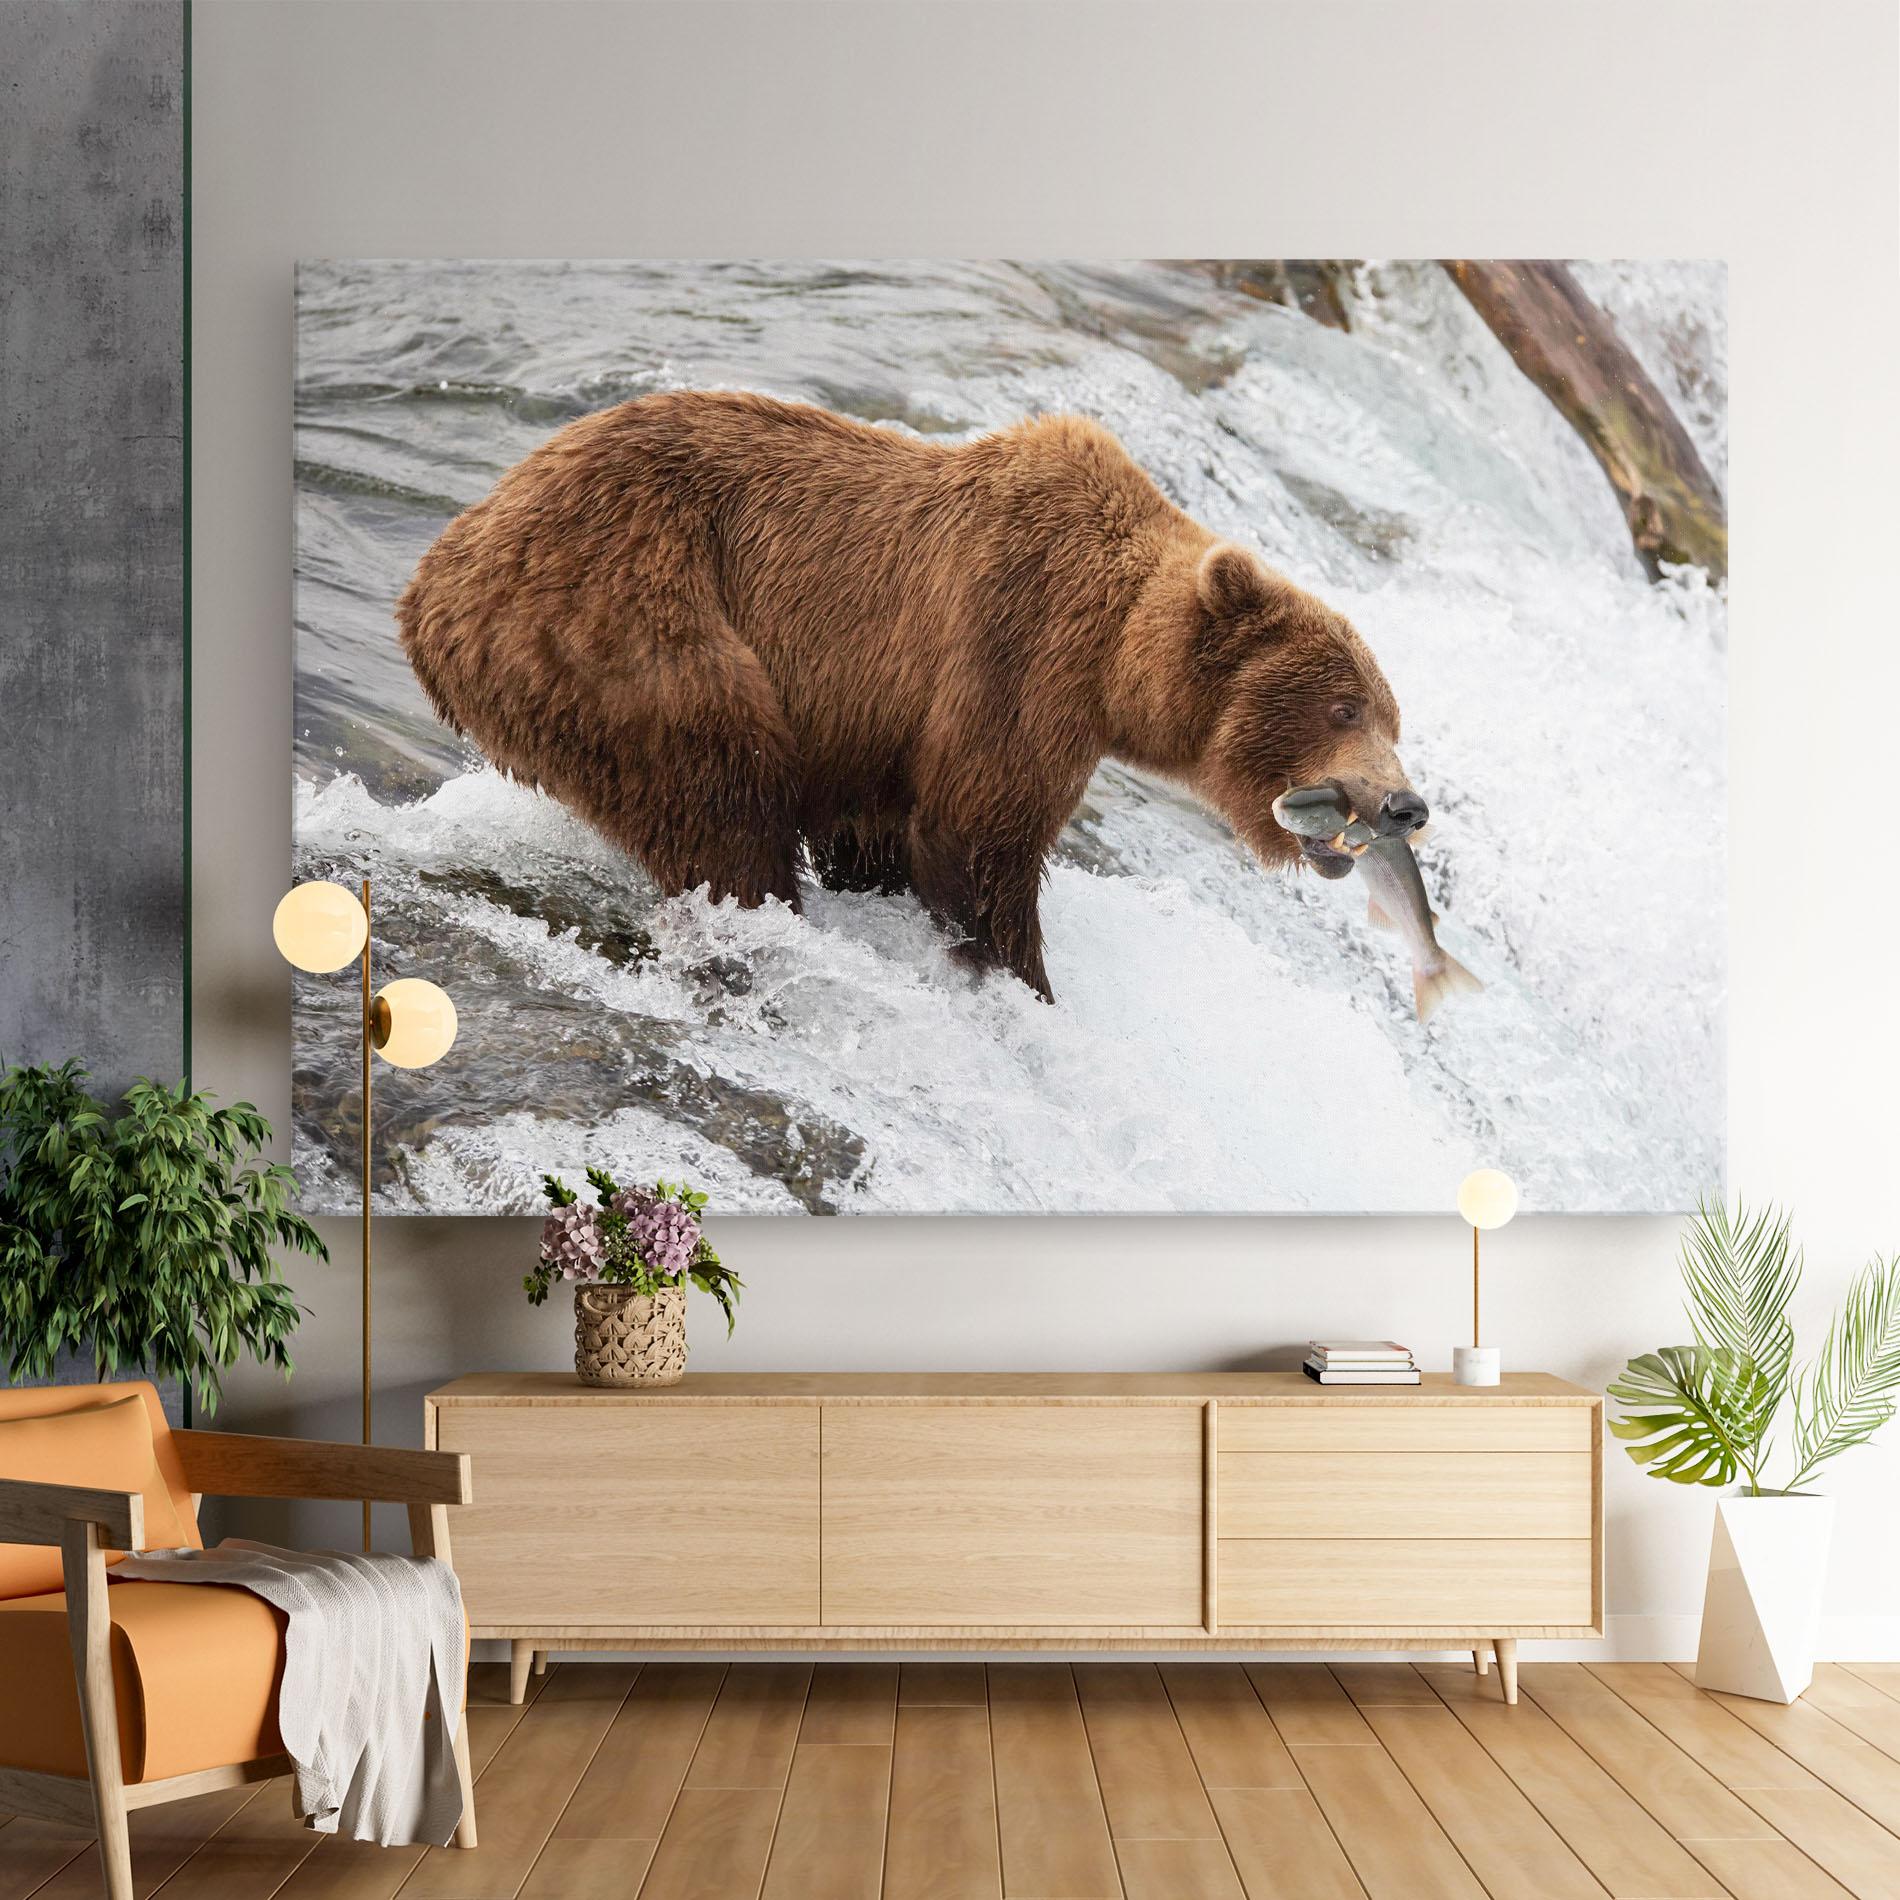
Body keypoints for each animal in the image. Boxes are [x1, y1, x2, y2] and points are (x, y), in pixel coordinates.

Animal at [397, 390, 1426, 1002]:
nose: (1404, 805)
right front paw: (1023, 981)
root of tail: (435, 578)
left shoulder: (879, 731)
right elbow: (978, 837)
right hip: (626, 620)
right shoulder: (1016, 650)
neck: (1114, 658)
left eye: (1392, 716)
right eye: (1344, 707)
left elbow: (882, 834)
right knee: (720, 794)